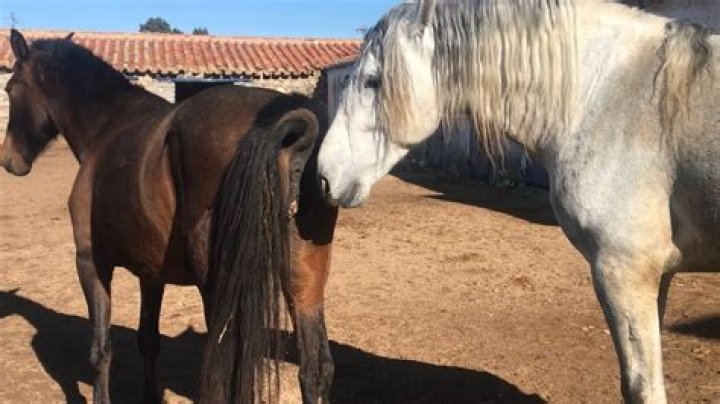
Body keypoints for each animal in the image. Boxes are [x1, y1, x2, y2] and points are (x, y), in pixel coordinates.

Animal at [1, 29, 338, 404]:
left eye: (10, 88)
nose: (10, 160)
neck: (107, 128)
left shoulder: (90, 262)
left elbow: (101, 350)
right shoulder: (151, 274)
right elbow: (148, 340)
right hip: (304, 284)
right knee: (316, 371)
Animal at [317, 1, 718, 402]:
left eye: (372, 81)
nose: (323, 176)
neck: (603, 96)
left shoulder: (625, 271)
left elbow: (641, 385)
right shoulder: (654, 275)